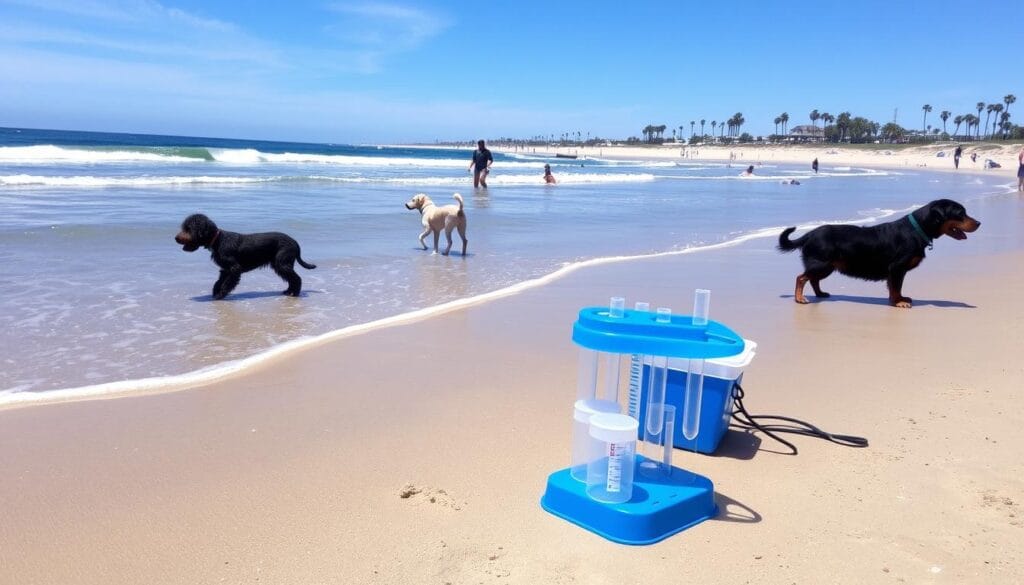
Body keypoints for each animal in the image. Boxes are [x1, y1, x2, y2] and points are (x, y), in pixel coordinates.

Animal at [174, 213, 315, 299]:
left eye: (188, 229)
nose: (175, 238)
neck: (218, 240)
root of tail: (294, 242)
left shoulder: (234, 268)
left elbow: (227, 283)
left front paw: (220, 295)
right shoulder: (225, 269)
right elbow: (218, 281)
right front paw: (215, 292)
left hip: (282, 263)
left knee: (296, 278)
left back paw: (295, 293)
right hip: (280, 265)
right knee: (292, 278)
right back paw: (289, 291)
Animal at [778, 198, 978, 309]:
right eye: (960, 213)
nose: (979, 223)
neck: (917, 229)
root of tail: (809, 234)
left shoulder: (896, 271)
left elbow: (896, 288)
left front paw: (898, 299)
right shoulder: (897, 268)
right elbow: (896, 287)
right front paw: (898, 302)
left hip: (826, 266)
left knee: (813, 279)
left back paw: (820, 294)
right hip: (822, 263)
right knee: (801, 278)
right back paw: (799, 298)